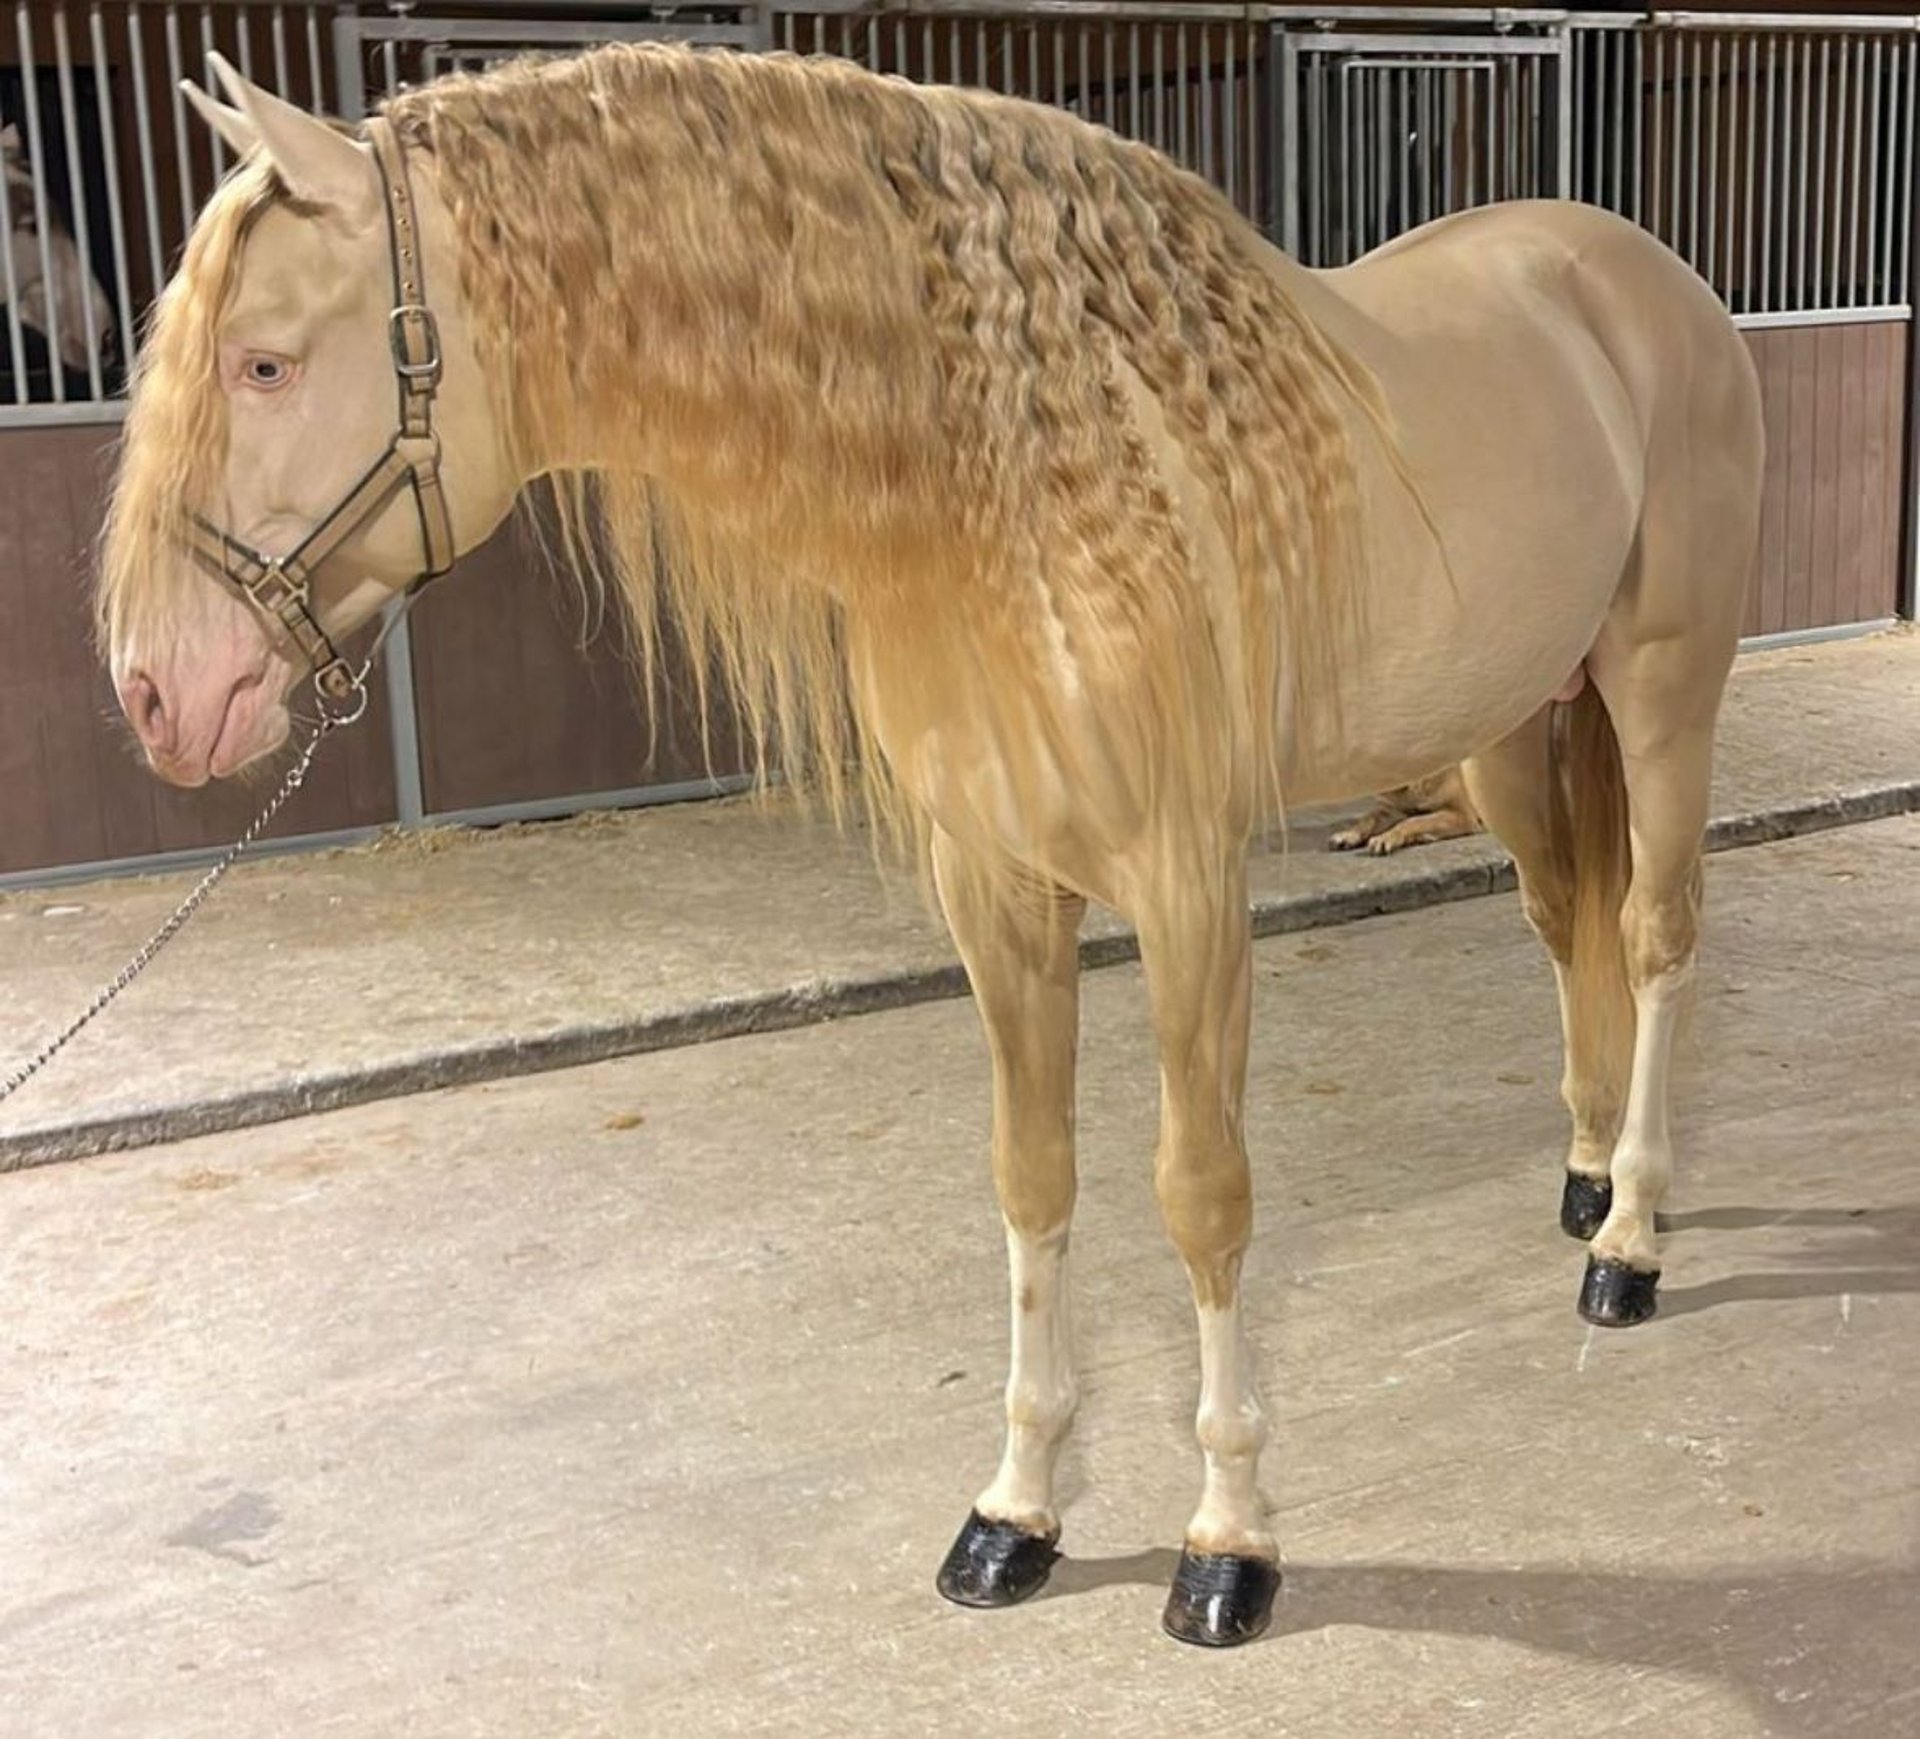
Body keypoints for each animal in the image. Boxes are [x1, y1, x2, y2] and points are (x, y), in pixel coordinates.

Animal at [97, 40, 1758, 1643]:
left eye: (264, 361)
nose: (160, 693)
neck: (1025, 479)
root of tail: (1640, 277)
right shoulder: (994, 886)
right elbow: (1032, 1177)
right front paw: (1016, 1513)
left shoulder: (1187, 884)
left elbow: (1200, 1191)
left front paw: (1228, 1542)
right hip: (1512, 733)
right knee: (1565, 925)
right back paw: (1586, 1178)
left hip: (1662, 690)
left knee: (1656, 937)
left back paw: (1629, 1244)